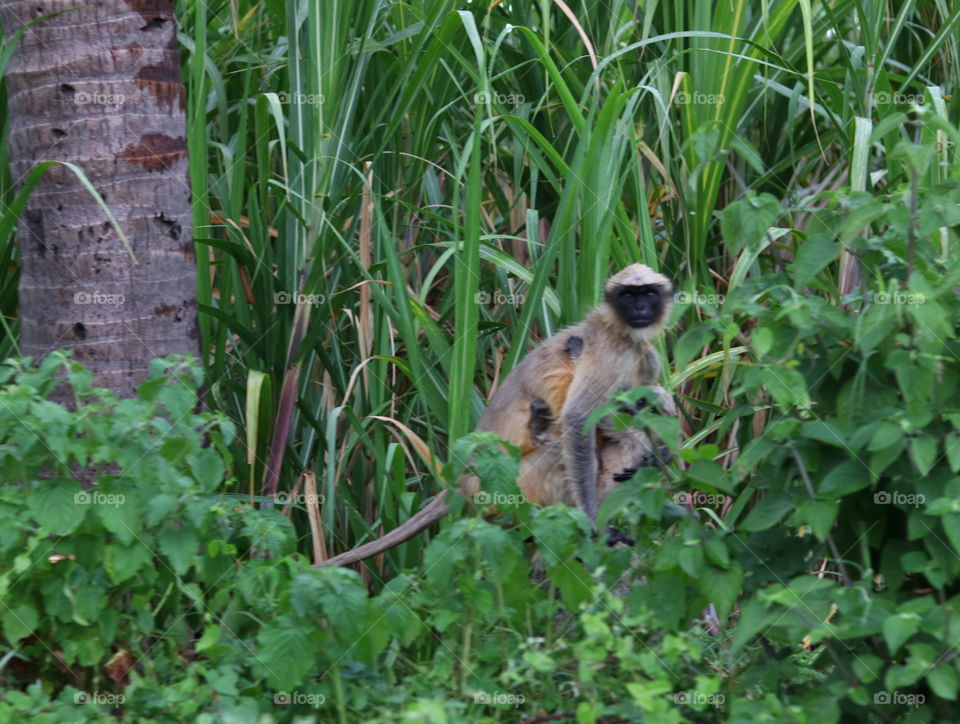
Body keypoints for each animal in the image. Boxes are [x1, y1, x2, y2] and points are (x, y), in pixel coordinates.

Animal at [462, 263, 676, 523]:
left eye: (648, 294)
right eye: (628, 296)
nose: (640, 308)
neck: (615, 329)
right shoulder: (613, 352)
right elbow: (579, 418)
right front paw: (593, 519)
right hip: (510, 487)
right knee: (558, 451)